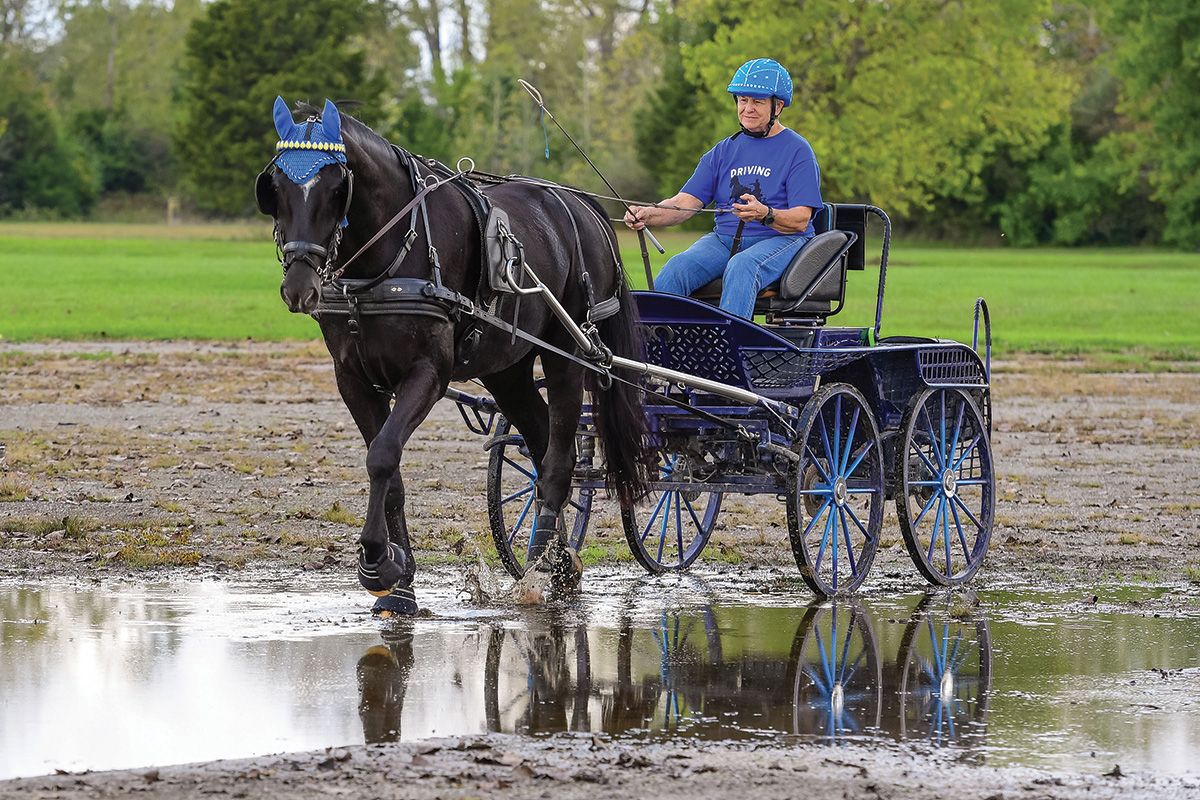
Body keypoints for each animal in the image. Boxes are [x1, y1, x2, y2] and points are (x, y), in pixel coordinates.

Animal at [252, 98, 648, 614]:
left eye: (338, 187)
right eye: (276, 186)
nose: (299, 288)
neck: (385, 261)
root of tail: (581, 205)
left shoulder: (427, 373)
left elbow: (382, 456)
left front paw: (377, 561)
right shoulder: (352, 379)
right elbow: (392, 475)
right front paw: (400, 585)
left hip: (568, 355)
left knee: (560, 461)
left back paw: (540, 564)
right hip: (508, 370)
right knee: (541, 446)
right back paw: (562, 561)